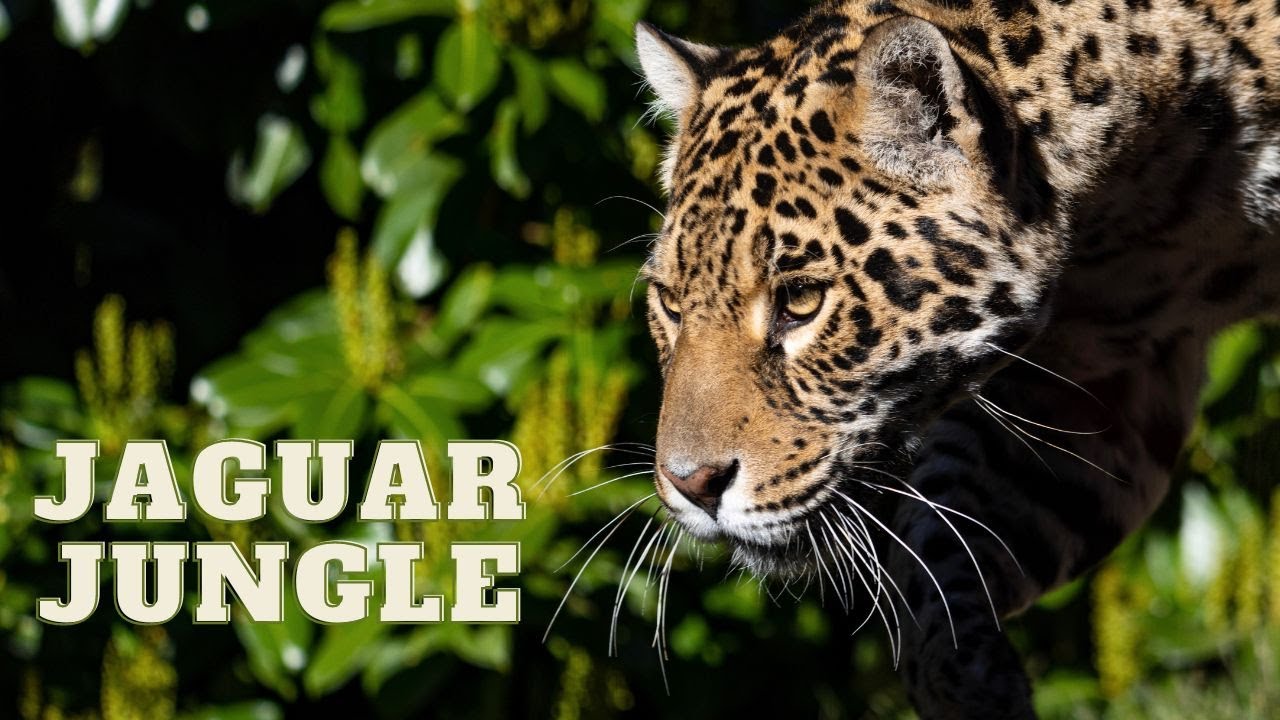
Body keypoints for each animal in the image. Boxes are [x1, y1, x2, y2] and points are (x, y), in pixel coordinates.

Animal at [630, 0, 1280, 717]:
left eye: (801, 300)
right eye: (669, 301)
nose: (692, 484)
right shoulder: (1098, 374)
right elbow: (945, 549)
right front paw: (969, 677)